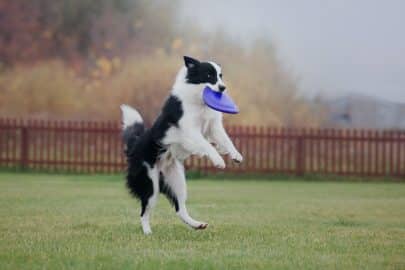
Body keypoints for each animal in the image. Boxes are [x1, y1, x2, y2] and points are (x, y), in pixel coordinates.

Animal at [119, 55, 240, 234]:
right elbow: (207, 145)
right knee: (144, 211)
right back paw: (147, 232)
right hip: (150, 183)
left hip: (177, 180)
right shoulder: (190, 130)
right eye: (209, 75)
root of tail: (134, 147)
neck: (199, 100)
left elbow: (225, 140)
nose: (223, 88)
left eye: (220, 76)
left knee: (179, 207)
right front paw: (218, 160)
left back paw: (196, 224)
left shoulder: (214, 126)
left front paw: (236, 155)